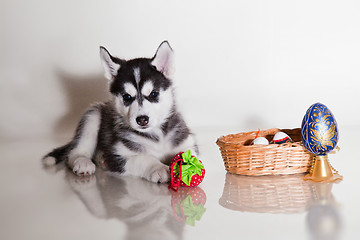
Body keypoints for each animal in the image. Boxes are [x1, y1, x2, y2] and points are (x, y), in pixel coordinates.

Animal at [44, 41, 200, 184]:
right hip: (92, 116)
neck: (156, 135)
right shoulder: (117, 156)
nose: (142, 120)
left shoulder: (187, 144)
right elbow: (143, 158)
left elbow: (190, 155)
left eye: (153, 94)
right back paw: (84, 162)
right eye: (127, 97)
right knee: (74, 152)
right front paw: (159, 168)